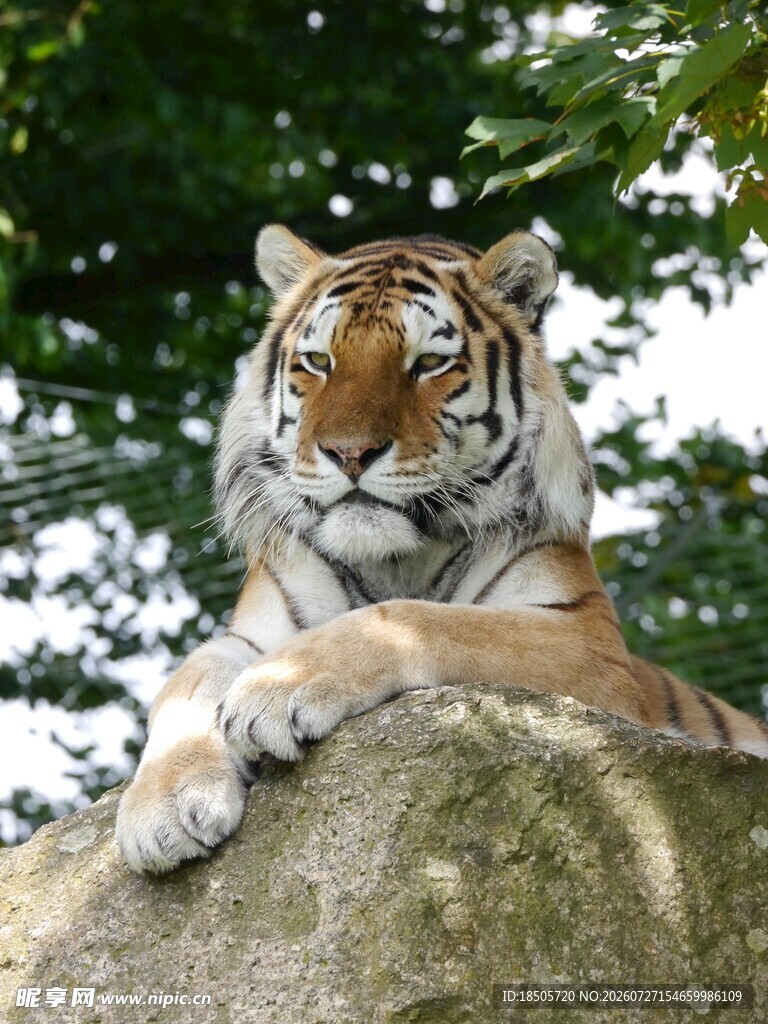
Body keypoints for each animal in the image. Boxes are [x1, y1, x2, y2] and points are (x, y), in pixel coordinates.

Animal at [116, 224, 768, 873]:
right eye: (319, 362)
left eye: (429, 363)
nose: (348, 453)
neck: (398, 557)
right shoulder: (249, 632)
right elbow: (187, 678)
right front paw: (165, 807)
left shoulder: (589, 643)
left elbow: (426, 620)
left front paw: (277, 689)